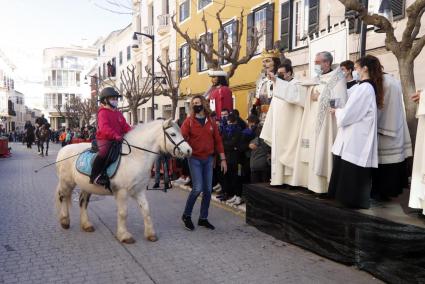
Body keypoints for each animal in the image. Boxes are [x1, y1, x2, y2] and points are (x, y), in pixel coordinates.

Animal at [55, 118, 191, 243]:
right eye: (173, 134)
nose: (189, 150)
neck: (135, 157)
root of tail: (63, 150)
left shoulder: (139, 190)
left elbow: (146, 210)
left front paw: (150, 234)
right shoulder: (122, 192)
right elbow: (123, 213)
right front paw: (124, 236)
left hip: (86, 186)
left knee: (83, 202)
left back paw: (86, 225)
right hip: (67, 182)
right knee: (63, 197)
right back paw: (65, 221)